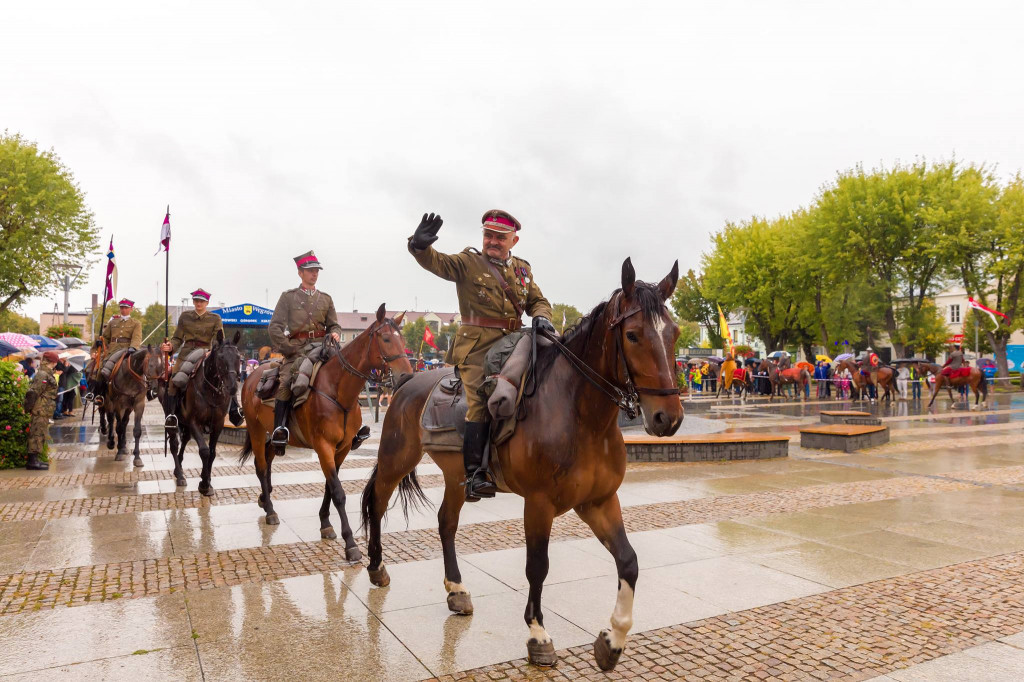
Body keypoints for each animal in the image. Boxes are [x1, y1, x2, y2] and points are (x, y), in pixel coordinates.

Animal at [166, 327, 242, 489]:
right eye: (221, 357)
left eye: (239, 357)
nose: (233, 387)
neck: (211, 390)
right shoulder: (195, 422)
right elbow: (204, 451)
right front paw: (205, 484)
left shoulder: (218, 423)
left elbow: (212, 452)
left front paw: (206, 479)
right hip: (172, 420)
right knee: (174, 444)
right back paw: (180, 475)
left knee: (185, 440)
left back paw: (178, 468)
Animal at [239, 303, 411, 557]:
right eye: (387, 339)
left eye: (403, 339)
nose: (407, 375)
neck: (339, 391)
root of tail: (252, 377)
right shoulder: (324, 447)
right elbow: (338, 492)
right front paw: (350, 544)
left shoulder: (343, 448)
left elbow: (330, 487)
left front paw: (326, 524)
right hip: (255, 429)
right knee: (260, 466)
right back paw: (270, 510)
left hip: (272, 433)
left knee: (269, 458)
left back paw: (264, 498)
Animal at [358, 259, 679, 667]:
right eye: (634, 335)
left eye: (675, 333)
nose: (668, 418)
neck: (580, 414)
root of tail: (406, 381)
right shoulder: (539, 504)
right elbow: (537, 566)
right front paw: (539, 635)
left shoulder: (598, 501)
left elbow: (629, 562)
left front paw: (613, 639)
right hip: (396, 459)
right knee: (377, 502)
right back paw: (377, 567)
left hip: (457, 475)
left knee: (446, 522)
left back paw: (456, 589)